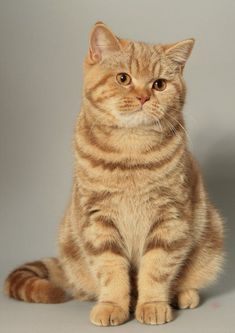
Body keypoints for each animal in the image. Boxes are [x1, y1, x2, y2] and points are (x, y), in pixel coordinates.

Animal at [4, 22, 224, 326]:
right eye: (123, 78)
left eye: (159, 84)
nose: (143, 96)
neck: (131, 151)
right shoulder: (98, 220)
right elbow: (111, 270)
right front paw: (113, 305)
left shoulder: (169, 217)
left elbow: (156, 268)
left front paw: (153, 304)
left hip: (212, 237)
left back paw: (183, 294)